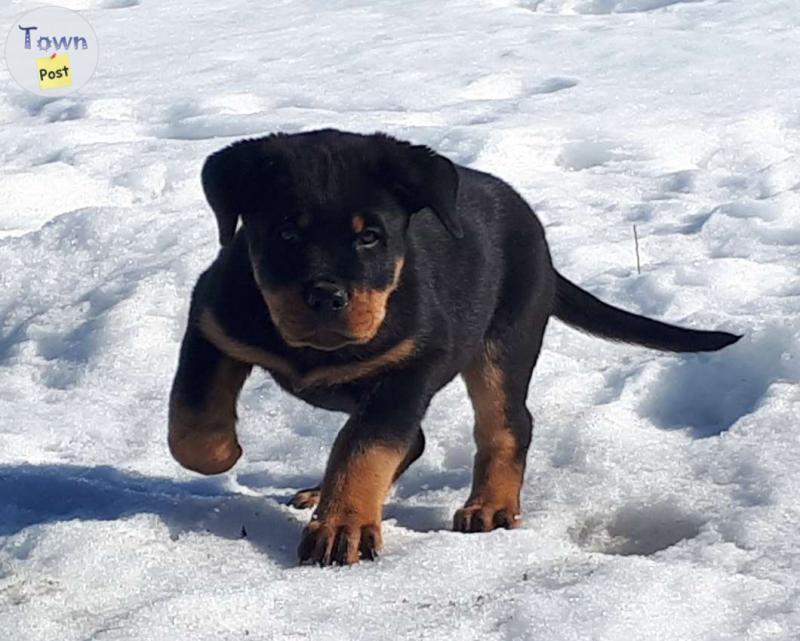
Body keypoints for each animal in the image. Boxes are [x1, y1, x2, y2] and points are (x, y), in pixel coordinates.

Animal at [167, 127, 736, 564]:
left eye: (370, 237)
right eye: (285, 233)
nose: (326, 296)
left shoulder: (413, 366)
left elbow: (364, 446)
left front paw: (343, 524)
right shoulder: (211, 321)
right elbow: (190, 425)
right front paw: (227, 451)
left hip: (504, 342)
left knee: (506, 425)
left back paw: (490, 507)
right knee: (415, 438)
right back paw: (319, 491)